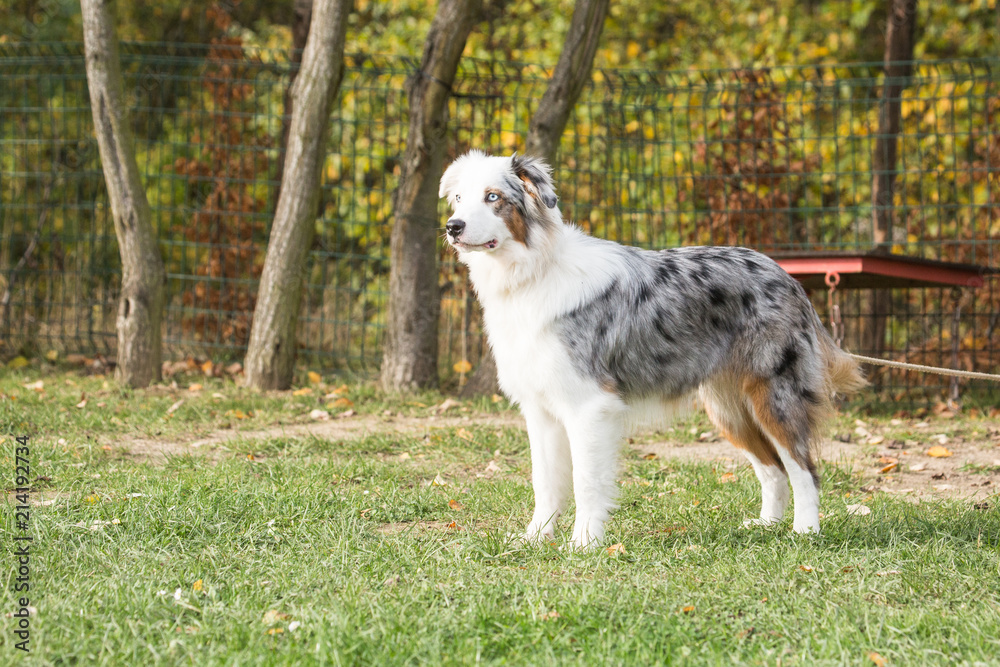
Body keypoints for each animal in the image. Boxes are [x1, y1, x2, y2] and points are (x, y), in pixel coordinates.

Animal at [440, 151, 868, 548]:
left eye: (493, 197)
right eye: (459, 198)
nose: (452, 227)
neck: (531, 273)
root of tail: (787, 277)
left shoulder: (589, 406)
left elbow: (586, 481)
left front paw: (584, 543)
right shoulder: (540, 410)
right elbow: (545, 482)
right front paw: (536, 538)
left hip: (774, 396)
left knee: (803, 467)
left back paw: (805, 531)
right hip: (729, 409)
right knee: (773, 468)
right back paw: (767, 525)